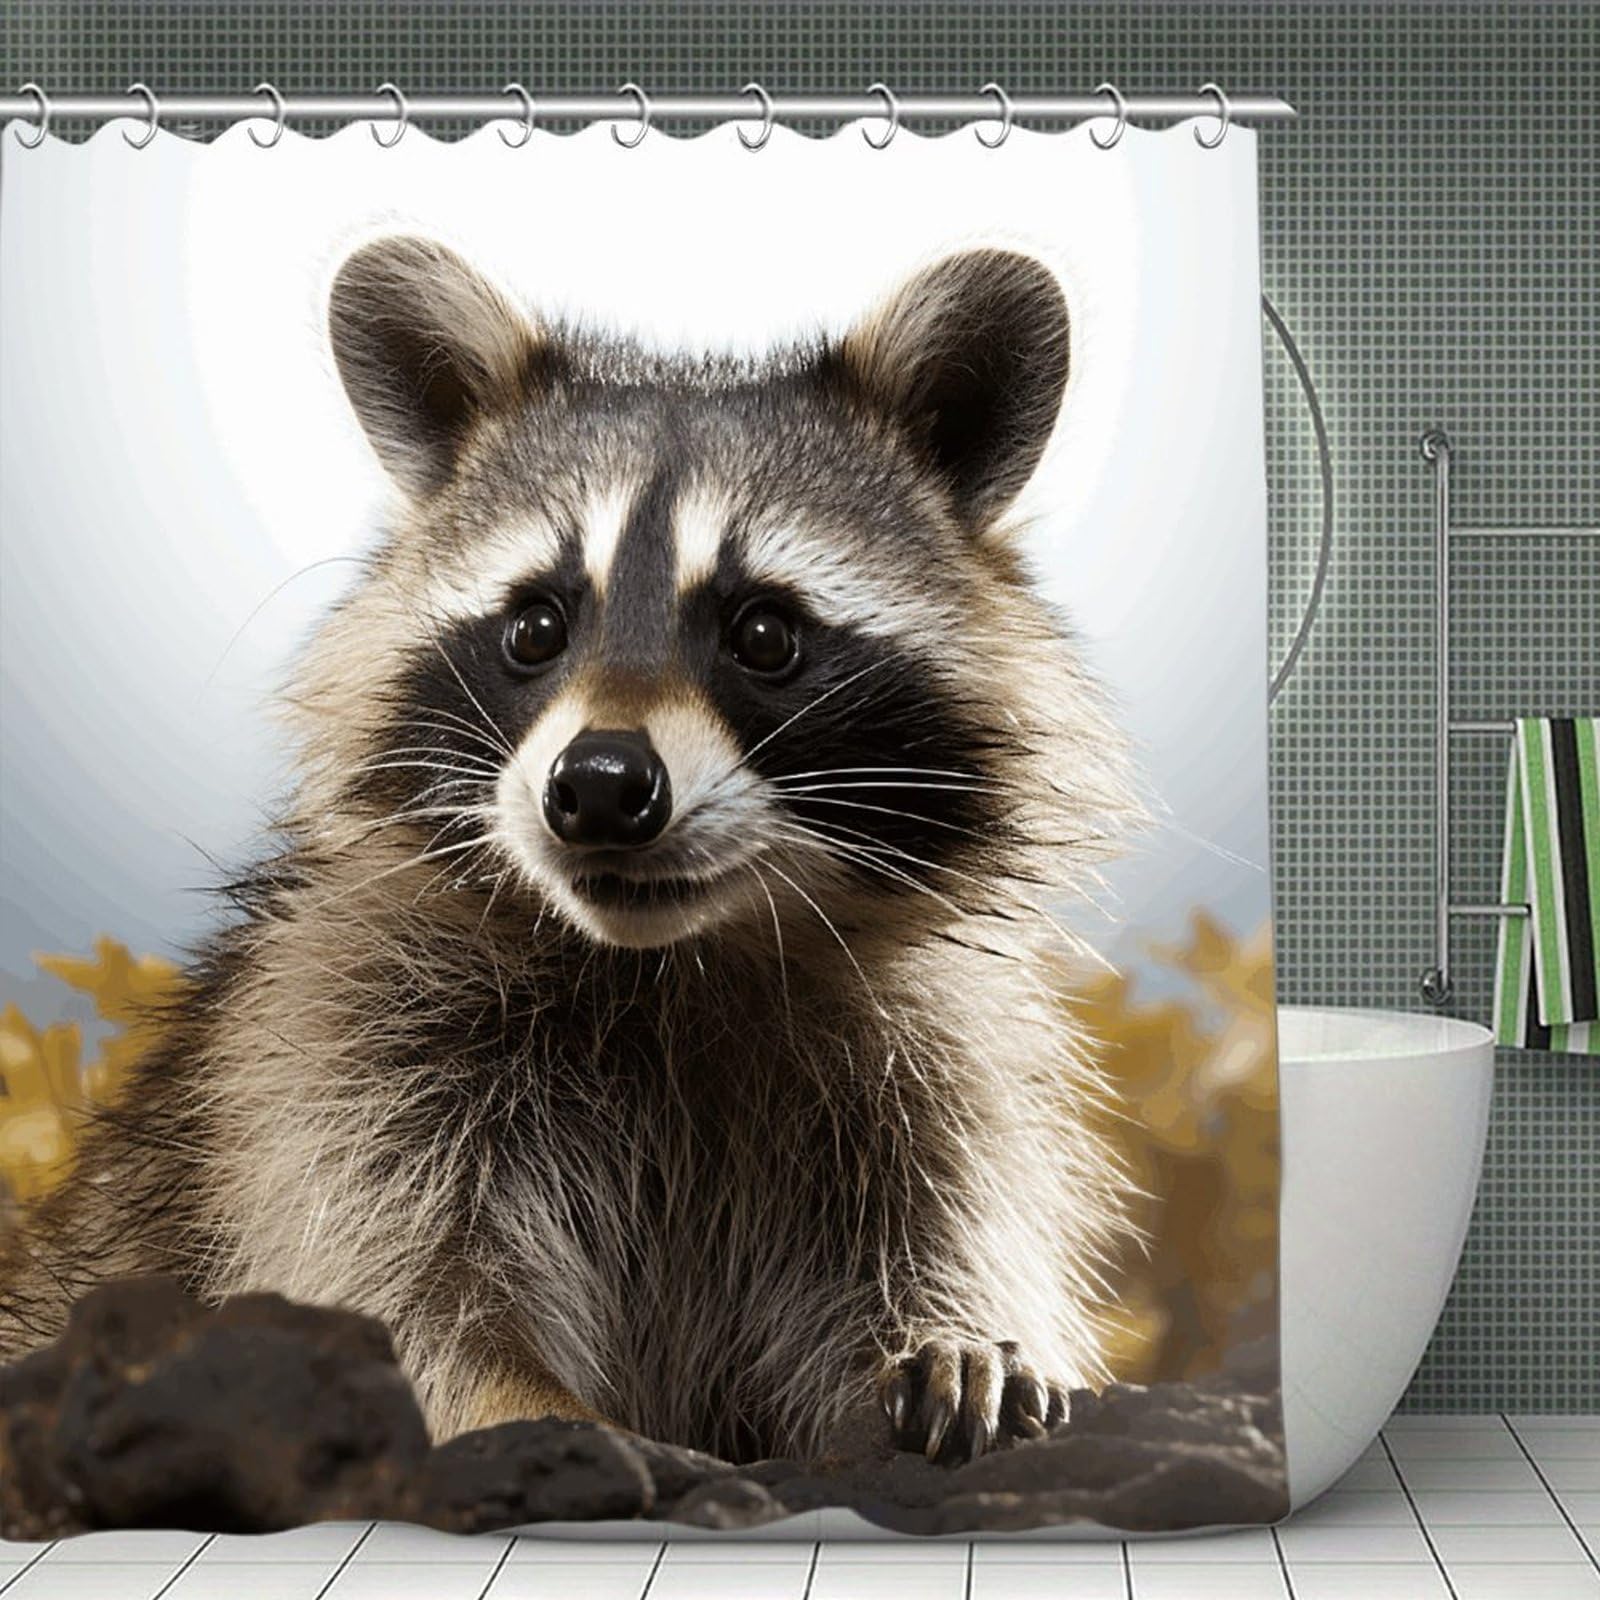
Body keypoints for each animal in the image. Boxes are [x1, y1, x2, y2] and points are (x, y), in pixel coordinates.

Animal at [0, 236, 1136, 1465]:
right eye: (535, 626)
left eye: (764, 633)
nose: (598, 787)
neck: (674, 960)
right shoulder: (336, 1057)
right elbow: (402, 1297)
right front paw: (534, 1407)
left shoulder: (930, 1086)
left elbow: (923, 1253)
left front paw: (951, 1338)